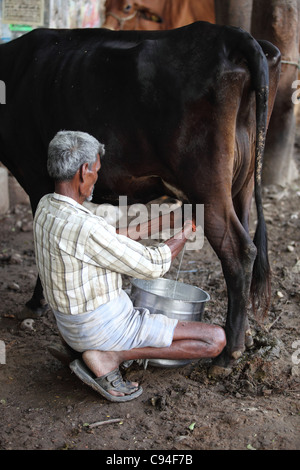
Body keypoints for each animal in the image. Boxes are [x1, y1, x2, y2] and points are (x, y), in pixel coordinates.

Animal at [0, 23, 282, 374]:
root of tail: (234, 35)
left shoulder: (35, 174)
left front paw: (36, 303)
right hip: (241, 183)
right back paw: (241, 339)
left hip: (209, 183)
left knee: (239, 250)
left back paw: (227, 354)